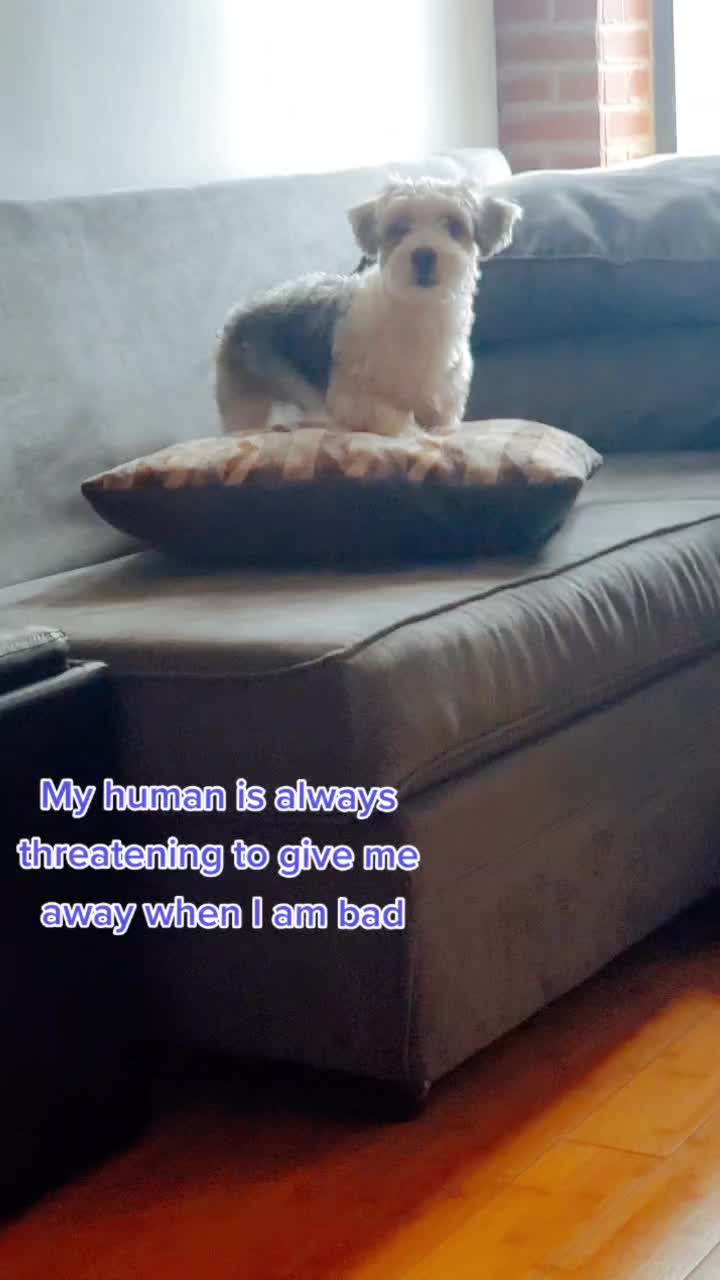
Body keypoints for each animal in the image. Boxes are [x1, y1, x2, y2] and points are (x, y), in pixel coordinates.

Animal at [215, 177, 522, 437]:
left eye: (454, 225)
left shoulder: (443, 406)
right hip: (248, 404)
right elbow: (394, 417)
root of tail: (237, 311)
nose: (424, 255)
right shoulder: (351, 399)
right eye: (399, 227)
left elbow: (440, 420)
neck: (418, 314)